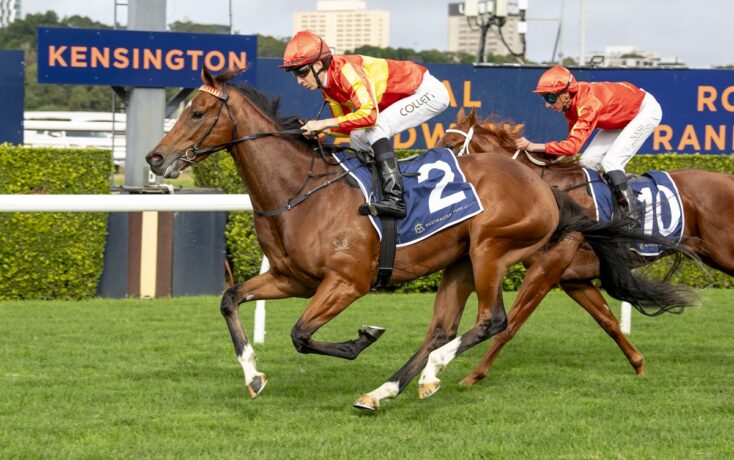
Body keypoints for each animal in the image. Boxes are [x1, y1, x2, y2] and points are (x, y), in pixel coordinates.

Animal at [145, 68, 696, 411]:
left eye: (197, 113)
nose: (154, 158)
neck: (299, 190)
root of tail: (545, 188)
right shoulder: (289, 279)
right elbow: (230, 300)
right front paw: (253, 376)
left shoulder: (347, 282)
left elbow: (301, 334)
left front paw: (363, 337)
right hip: (460, 261)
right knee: (442, 328)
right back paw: (382, 392)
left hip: (491, 250)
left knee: (492, 321)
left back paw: (431, 375)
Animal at [436, 107, 734, 385]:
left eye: (450, 145)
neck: (545, 191)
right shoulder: (573, 279)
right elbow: (608, 321)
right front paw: (639, 365)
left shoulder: (546, 270)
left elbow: (511, 325)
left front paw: (473, 376)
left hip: (725, 253)